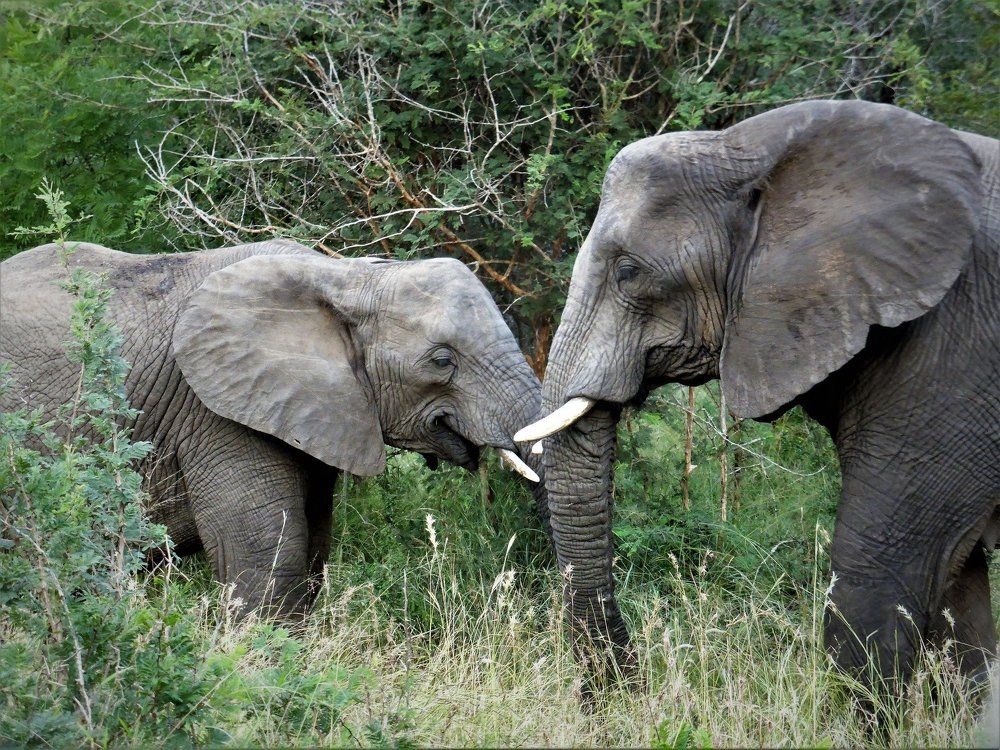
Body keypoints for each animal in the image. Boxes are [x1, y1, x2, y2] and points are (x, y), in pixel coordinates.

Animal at [516, 100, 999, 692]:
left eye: (629, 272)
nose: (629, 690)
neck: (749, 148)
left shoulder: (953, 352)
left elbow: (876, 567)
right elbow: (960, 594)